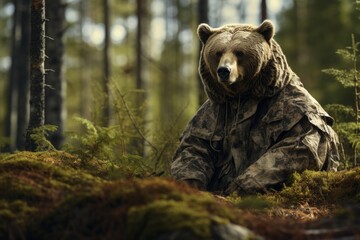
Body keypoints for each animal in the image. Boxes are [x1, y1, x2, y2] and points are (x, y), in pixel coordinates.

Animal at [170, 20, 338, 195]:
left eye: (239, 52)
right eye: (218, 52)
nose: (224, 70)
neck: (243, 94)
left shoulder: (296, 106)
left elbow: (299, 143)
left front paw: (237, 186)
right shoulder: (214, 110)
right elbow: (194, 144)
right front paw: (190, 183)